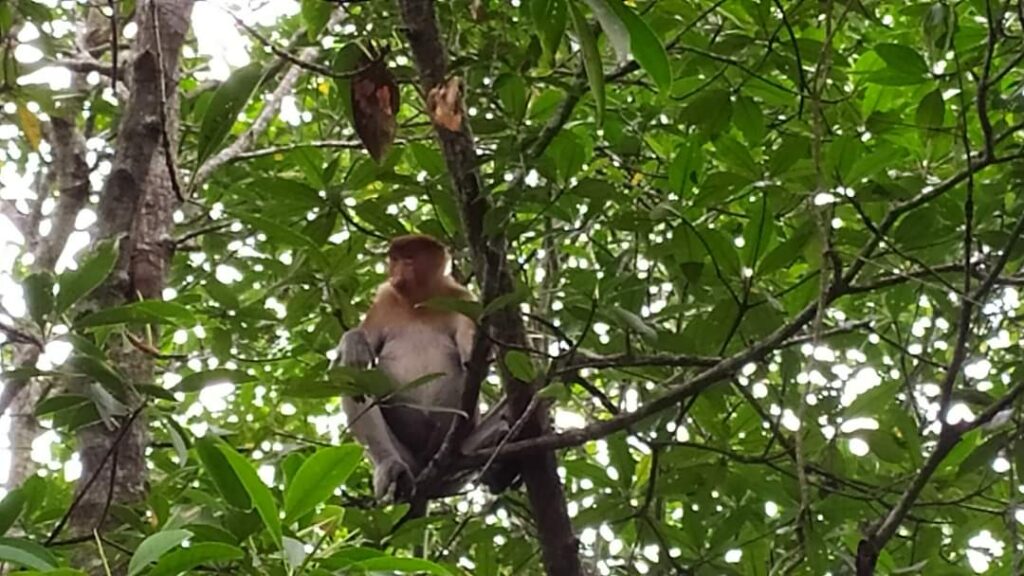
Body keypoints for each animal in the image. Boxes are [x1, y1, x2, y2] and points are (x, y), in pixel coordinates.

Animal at [333, 231, 516, 498]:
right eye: (395, 259)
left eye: (409, 258)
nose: (397, 274)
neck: (418, 302)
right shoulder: (385, 300)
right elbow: (361, 343)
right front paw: (354, 343)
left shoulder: (461, 298)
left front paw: (476, 351)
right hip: (406, 454)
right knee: (351, 376)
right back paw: (392, 468)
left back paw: (500, 455)